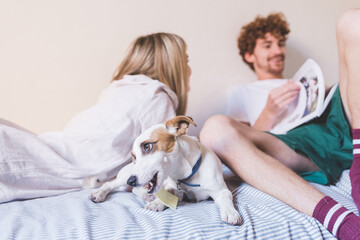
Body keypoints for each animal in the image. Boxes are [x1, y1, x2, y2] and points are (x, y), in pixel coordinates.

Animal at [90, 116, 242, 225]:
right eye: (134, 157)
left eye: (147, 146)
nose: (131, 181)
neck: (187, 176)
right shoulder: (171, 185)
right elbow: (169, 191)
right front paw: (157, 202)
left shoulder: (221, 190)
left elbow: (226, 197)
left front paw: (230, 212)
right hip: (123, 179)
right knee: (110, 184)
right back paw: (99, 193)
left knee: (134, 190)